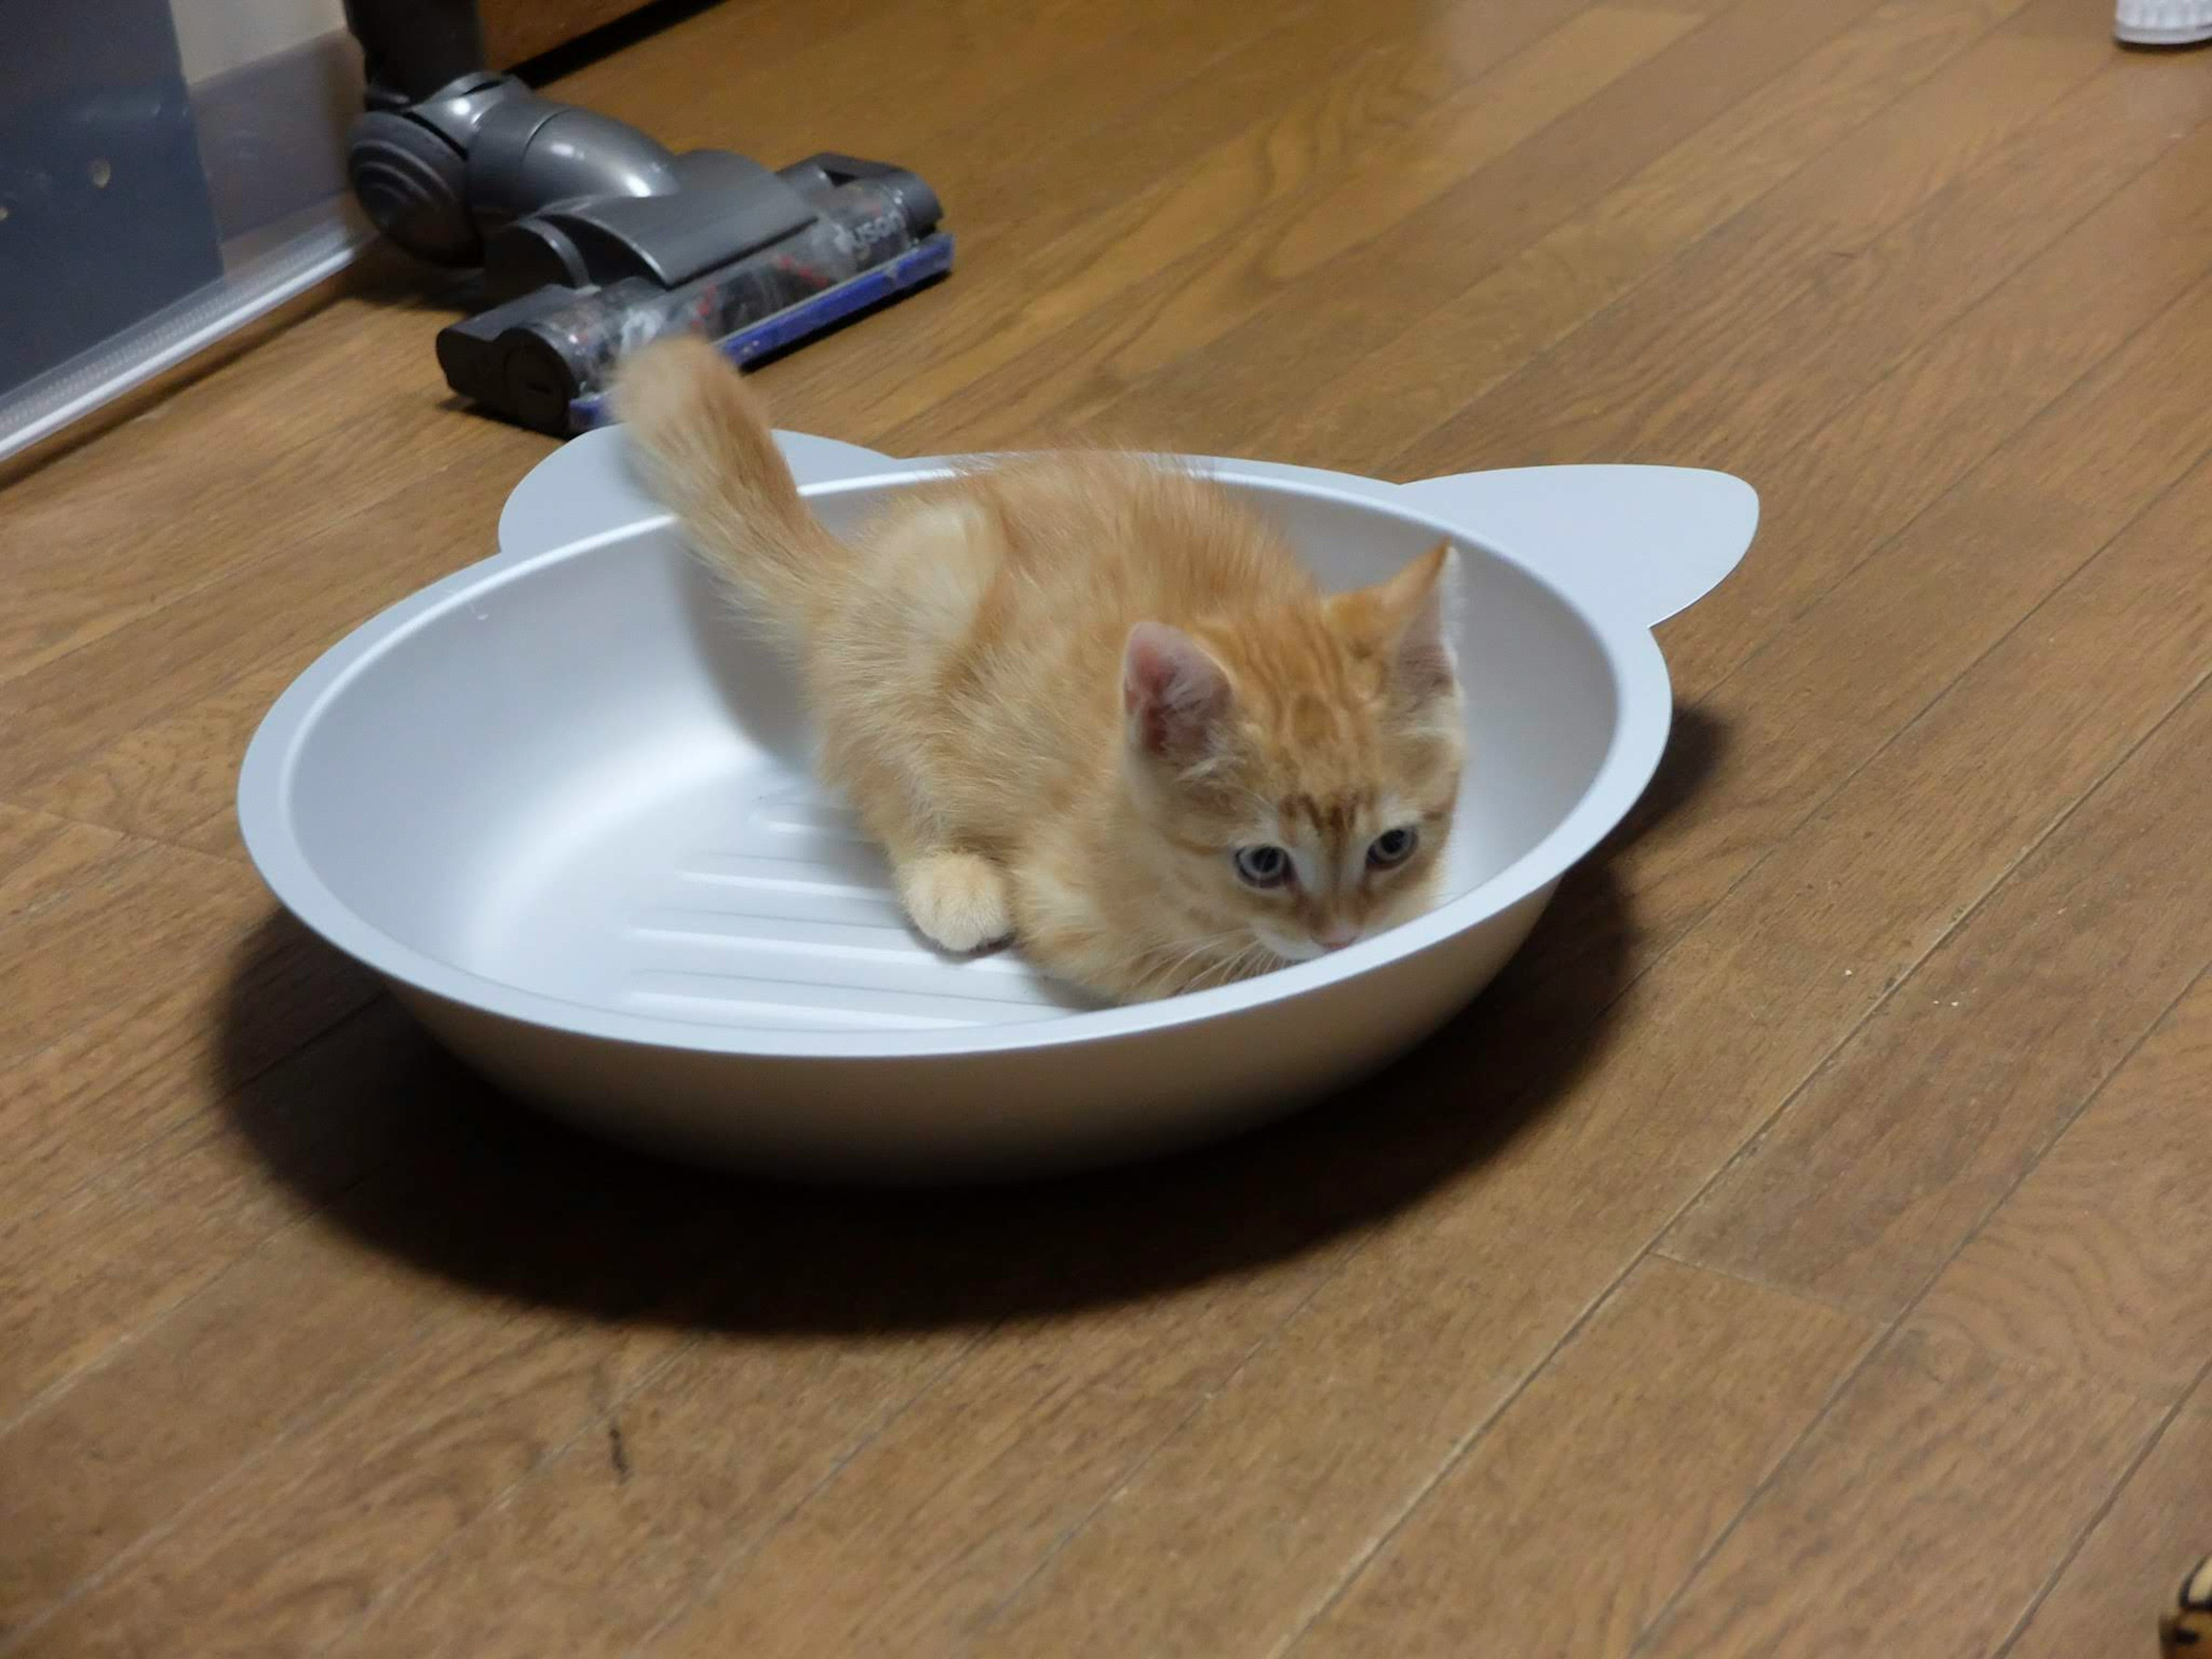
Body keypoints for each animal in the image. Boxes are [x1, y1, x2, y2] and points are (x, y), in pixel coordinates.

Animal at [615, 340, 1460, 999]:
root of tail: (852, 572)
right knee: (891, 789)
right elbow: (1203, 969)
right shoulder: (1070, 913)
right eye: (1262, 863)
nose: (1341, 939)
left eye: (1393, 846)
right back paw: (951, 880)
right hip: (925, 610)